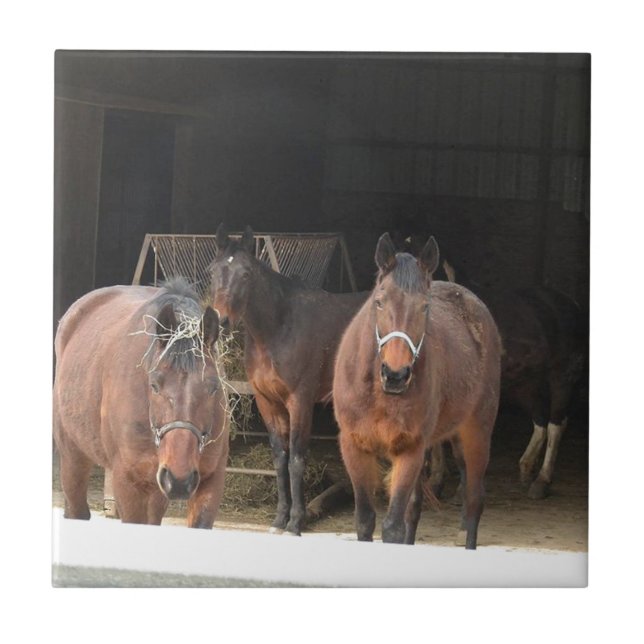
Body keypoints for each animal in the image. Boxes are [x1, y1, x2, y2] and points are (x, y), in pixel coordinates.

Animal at [53, 278, 229, 527]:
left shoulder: (210, 480)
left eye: (214, 386)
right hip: (73, 456)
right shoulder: (128, 483)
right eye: (154, 385)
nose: (180, 479)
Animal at [209, 224, 368, 535]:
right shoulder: (267, 401)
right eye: (213, 271)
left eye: (246, 274)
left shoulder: (300, 401)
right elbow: (279, 459)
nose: (220, 320)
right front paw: (280, 518)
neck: (277, 328)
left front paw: (296, 522)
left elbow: (296, 459)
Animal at [333, 233, 502, 549]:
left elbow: (393, 527)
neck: (380, 394)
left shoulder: (410, 449)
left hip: (477, 433)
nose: (395, 375)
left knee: (474, 501)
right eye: (379, 302)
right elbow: (366, 521)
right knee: (417, 508)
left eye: (425, 307)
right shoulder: (354, 446)